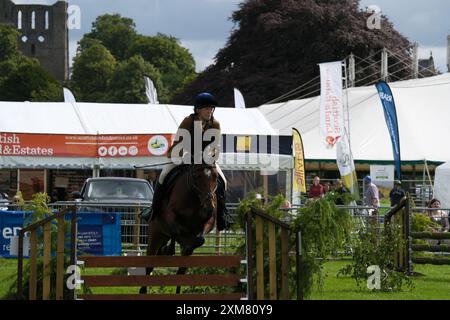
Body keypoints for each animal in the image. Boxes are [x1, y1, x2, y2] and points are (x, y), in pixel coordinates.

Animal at [140, 164, 219, 294]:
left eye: (215, 176)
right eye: (197, 176)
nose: (209, 209)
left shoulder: (209, 222)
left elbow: (200, 239)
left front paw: (187, 246)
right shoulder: (169, 216)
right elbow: (175, 231)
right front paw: (169, 249)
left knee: (181, 272)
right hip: (155, 236)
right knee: (149, 266)